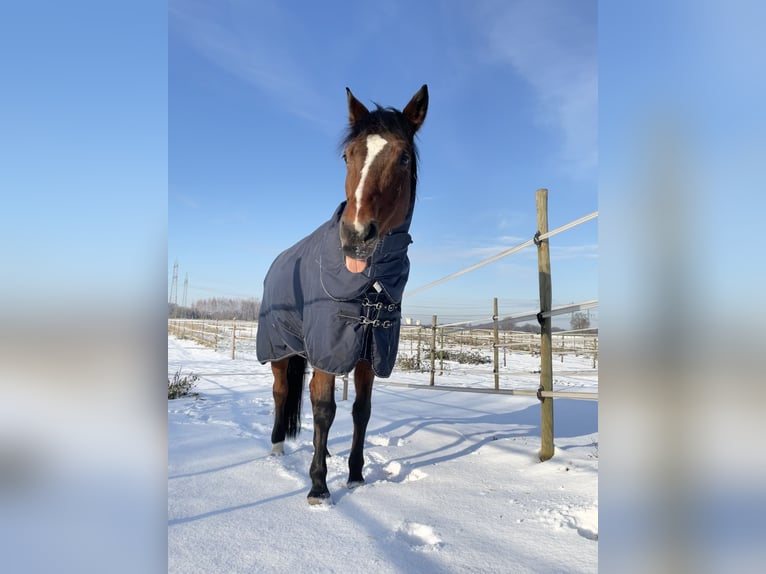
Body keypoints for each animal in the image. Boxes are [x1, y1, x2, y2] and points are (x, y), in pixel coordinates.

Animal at [256, 84, 426, 504]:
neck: (370, 286)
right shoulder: (328, 350)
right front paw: (318, 486)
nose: (356, 235)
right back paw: (277, 447)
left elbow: (360, 411)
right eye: (348, 156)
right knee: (281, 392)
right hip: (280, 349)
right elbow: (323, 409)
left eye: (402, 157)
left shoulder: (370, 351)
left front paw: (355, 476)